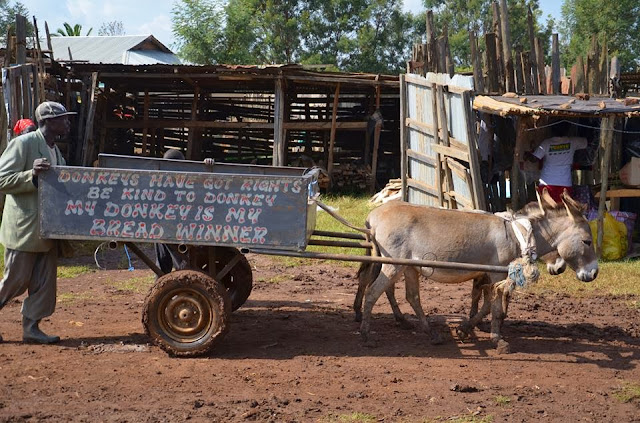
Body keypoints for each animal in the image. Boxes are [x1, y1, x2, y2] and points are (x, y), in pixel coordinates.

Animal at [355, 190, 598, 343]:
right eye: (587, 241)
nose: (594, 273)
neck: (518, 234)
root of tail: (373, 218)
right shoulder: (496, 274)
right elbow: (494, 306)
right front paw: (497, 339)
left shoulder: (490, 275)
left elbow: (487, 304)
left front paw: (466, 329)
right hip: (393, 265)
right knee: (373, 291)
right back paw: (366, 334)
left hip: (409, 267)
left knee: (411, 296)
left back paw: (430, 333)